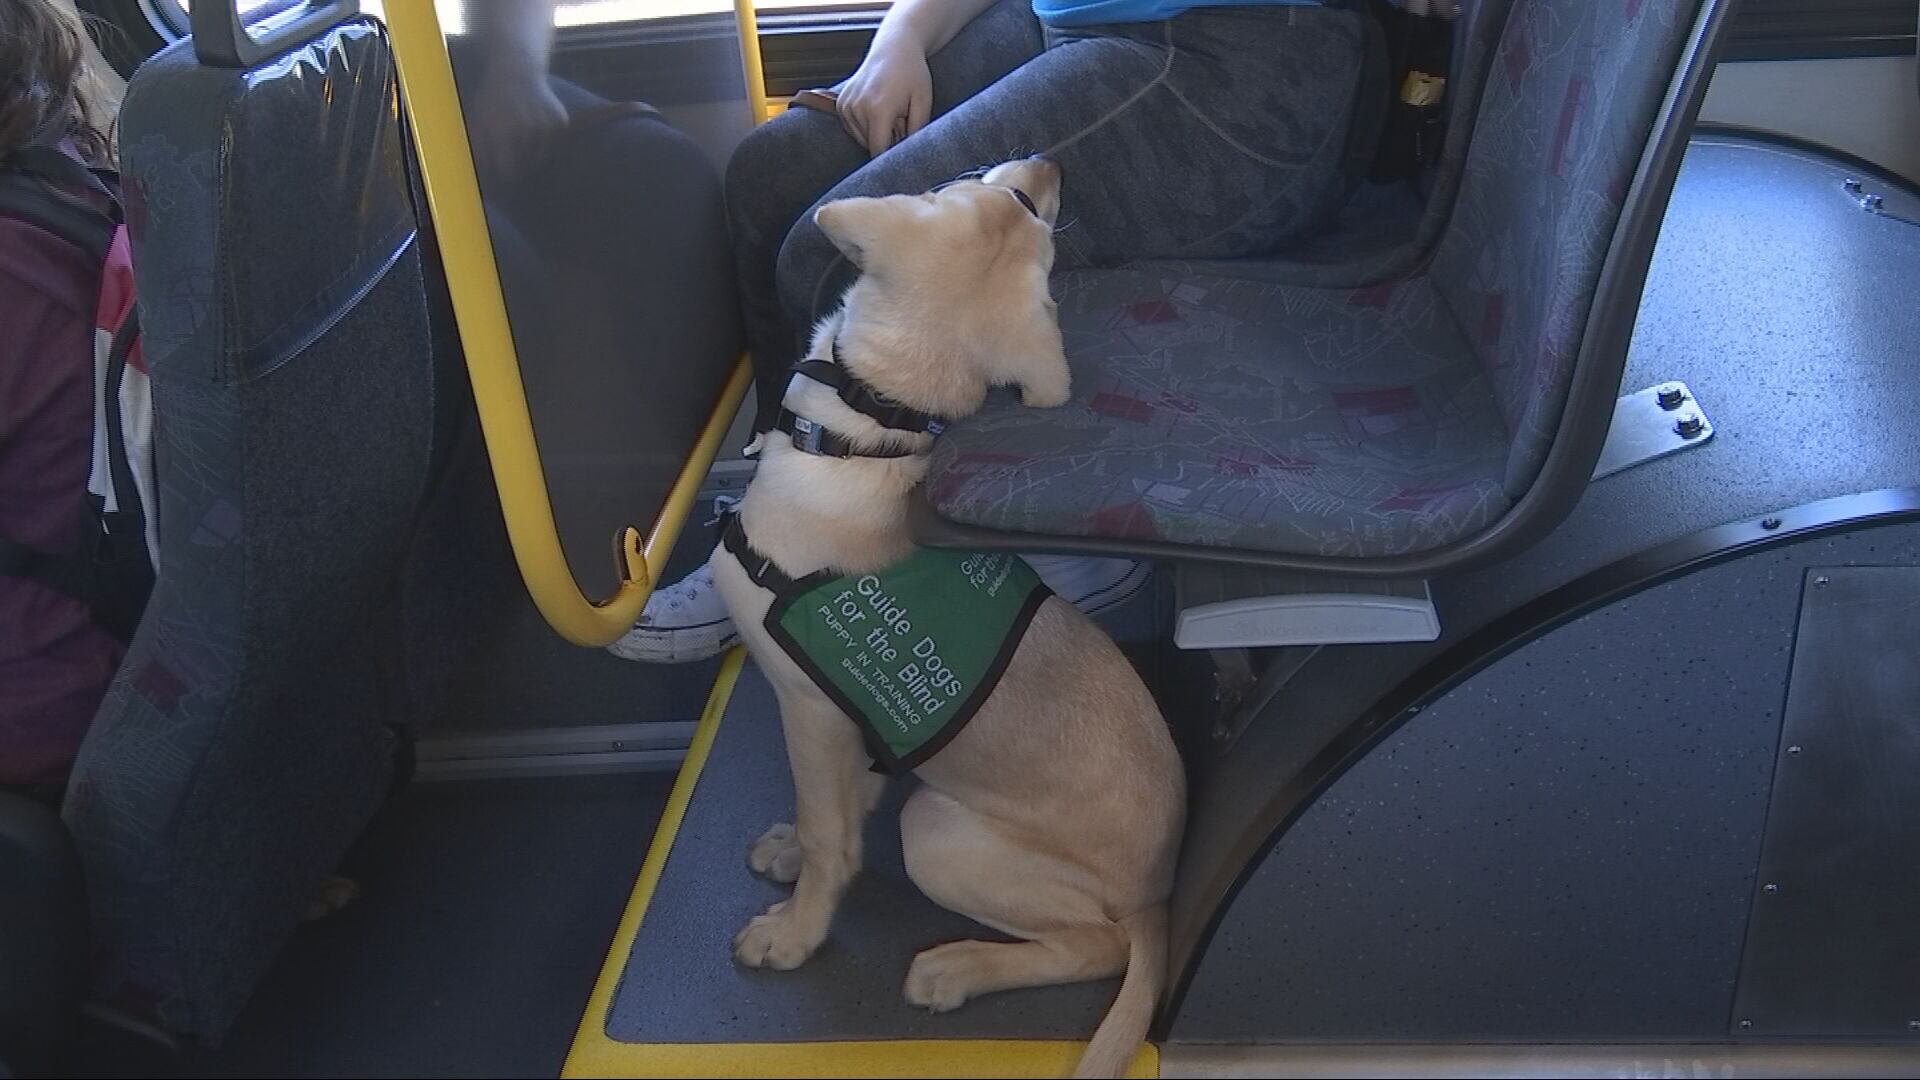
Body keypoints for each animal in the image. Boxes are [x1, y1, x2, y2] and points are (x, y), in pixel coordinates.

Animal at [714, 157, 1175, 1076]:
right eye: (1016, 201)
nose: (1052, 164)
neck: (865, 435)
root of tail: (1159, 893)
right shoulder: (851, 723)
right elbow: (843, 801)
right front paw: (792, 847)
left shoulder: (806, 705)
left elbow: (830, 835)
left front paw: (796, 932)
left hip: (936, 830)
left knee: (1098, 946)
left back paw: (957, 969)